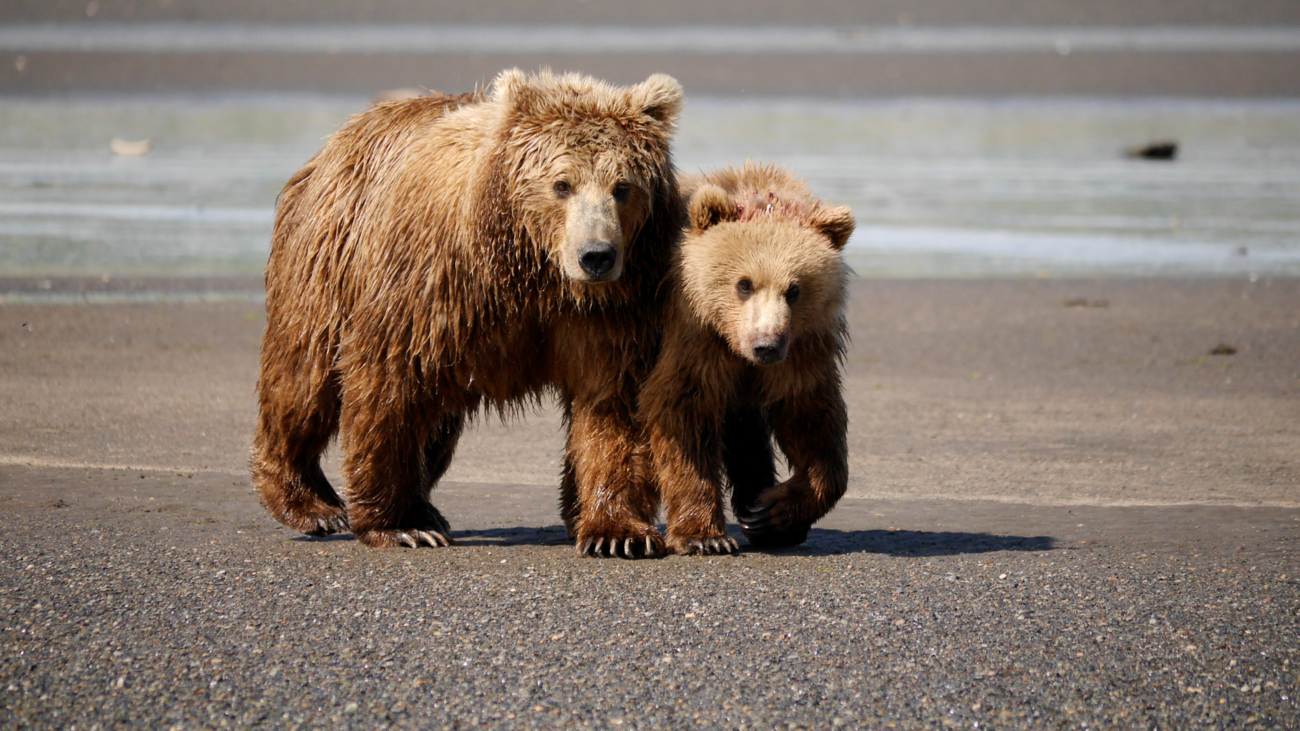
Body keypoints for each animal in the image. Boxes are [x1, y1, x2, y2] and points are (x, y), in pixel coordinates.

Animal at [248, 71, 686, 554]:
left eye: (622, 187)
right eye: (562, 184)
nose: (596, 255)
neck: (535, 270)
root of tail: (335, 143)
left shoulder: (613, 308)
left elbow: (613, 401)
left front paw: (617, 532)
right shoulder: (436, 282)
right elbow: (389, 382)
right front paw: (399, 525)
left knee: (434, 425)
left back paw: (424, 506)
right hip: (328, 254)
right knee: (304, 378)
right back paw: (312, 503)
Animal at [637, 163, 852, 551]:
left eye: (794, 289)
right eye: (744, 284)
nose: (765, 345)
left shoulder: (801, 349)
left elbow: (809, 416)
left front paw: (774, 513)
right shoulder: (693, 334)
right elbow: (681, 409)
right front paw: (704, 536)